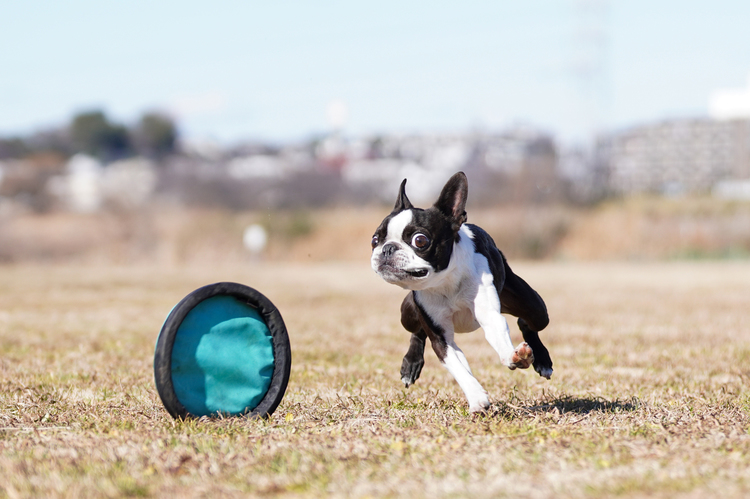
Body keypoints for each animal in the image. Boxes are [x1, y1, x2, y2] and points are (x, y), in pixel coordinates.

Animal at [370, 172, 552, 414]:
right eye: (375, 239)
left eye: (420, 240)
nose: (387, 248)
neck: (446, 282)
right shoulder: (441, 338)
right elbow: (457, 367)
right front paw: (476, 398)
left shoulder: (489, 315)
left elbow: (498, 334)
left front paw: (514, 356)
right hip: (407, 312)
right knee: (417, 332)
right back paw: (411, 364)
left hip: (535, 307)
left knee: (527, 321)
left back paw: (543, 361)